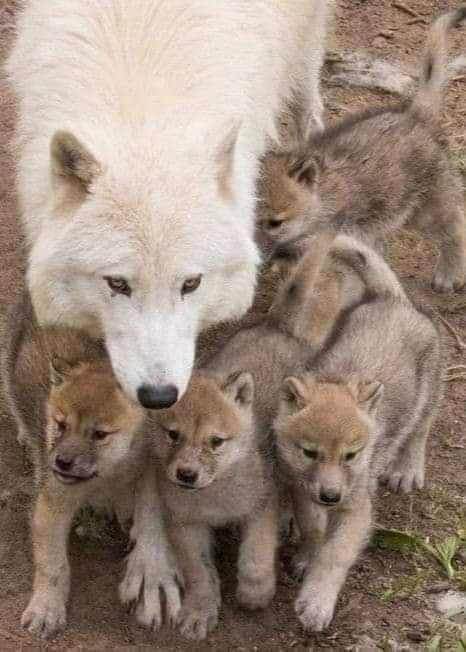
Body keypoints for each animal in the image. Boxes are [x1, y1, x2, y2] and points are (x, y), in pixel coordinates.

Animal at [1, 294, 180, 638]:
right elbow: (53, 564)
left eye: (99, 434)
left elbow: (147, 508)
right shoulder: (52, 503)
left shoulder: (148, 469)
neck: (107, 474)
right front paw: (47, 609)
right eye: (60, 425)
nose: (61, 461)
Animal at [258, 7, 466, 292]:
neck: (321, 198)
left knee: (456, 225)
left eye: (276, 223)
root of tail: (417, 114)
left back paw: (449, 274)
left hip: (427, 209)